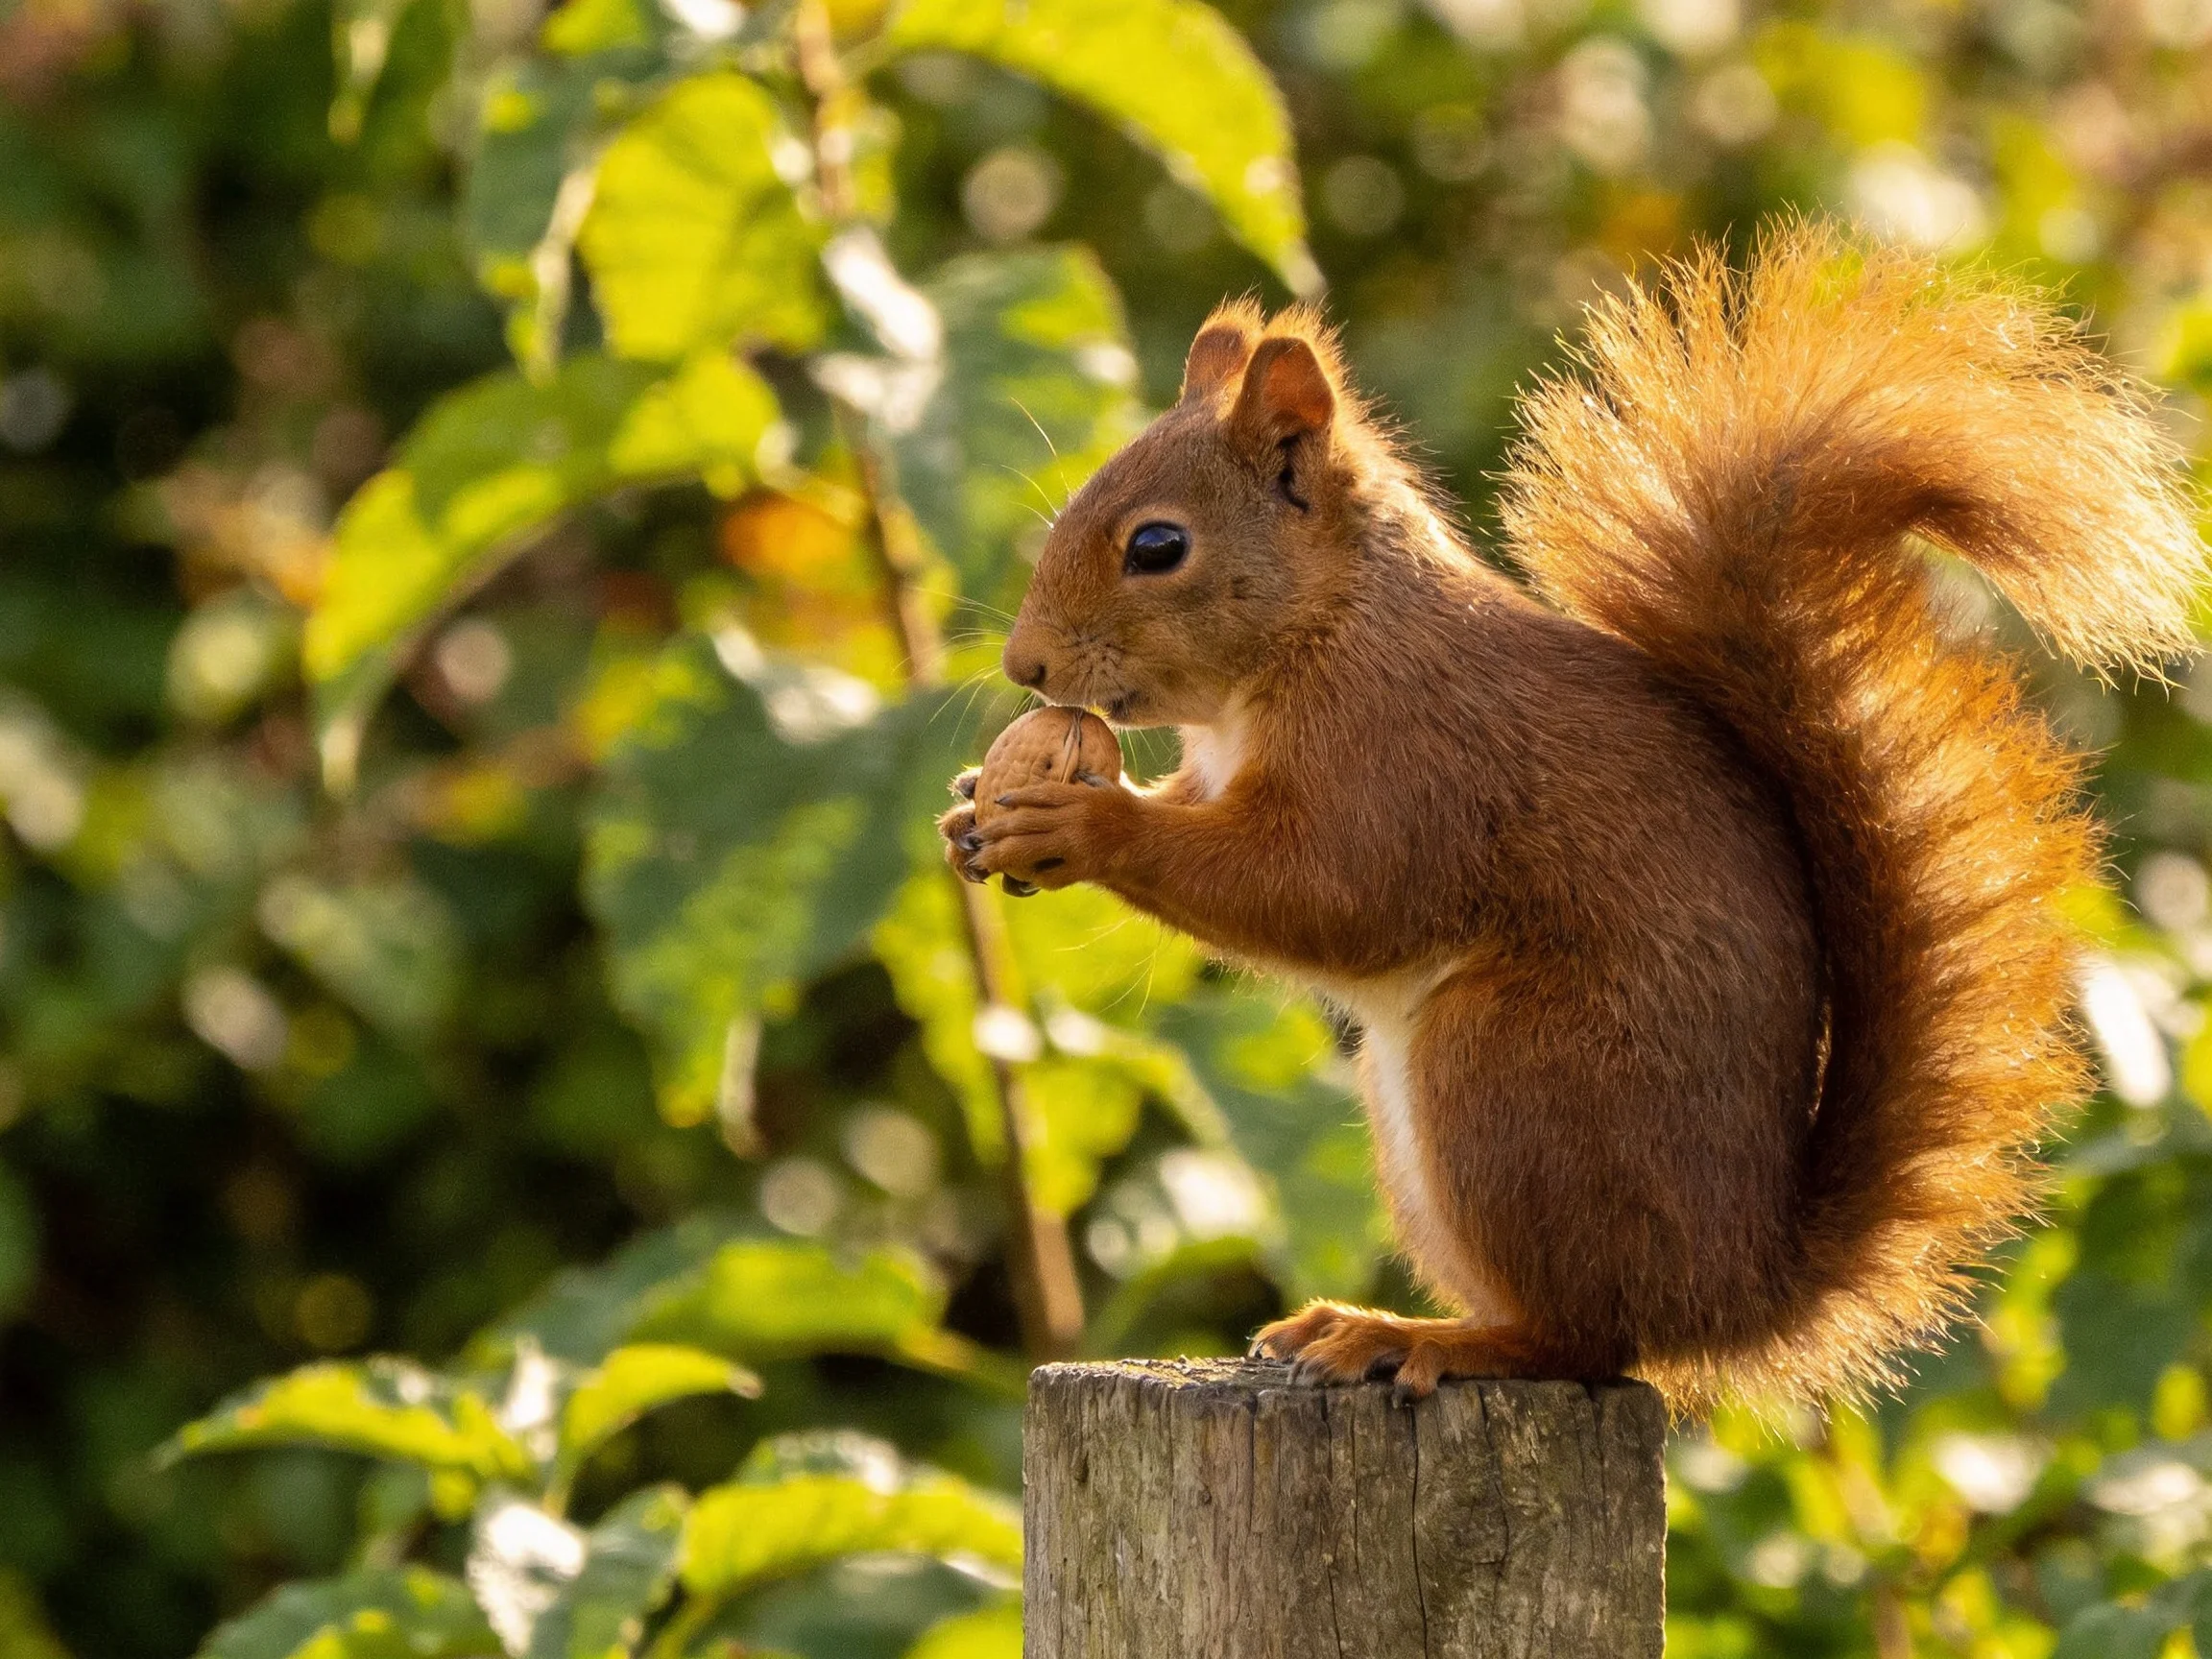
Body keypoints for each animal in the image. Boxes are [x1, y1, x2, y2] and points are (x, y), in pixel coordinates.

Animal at [938, 221, 2209, 1410]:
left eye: (1159, 546)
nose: (1023, 666)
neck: (1320, 632)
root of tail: (1734, 1288)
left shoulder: (1405, 760)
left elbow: (1327, 894)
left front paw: (1081, 827)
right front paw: (972, 811)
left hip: (1509, 1077)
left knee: (1585, 1342)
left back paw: (1422, 1339)